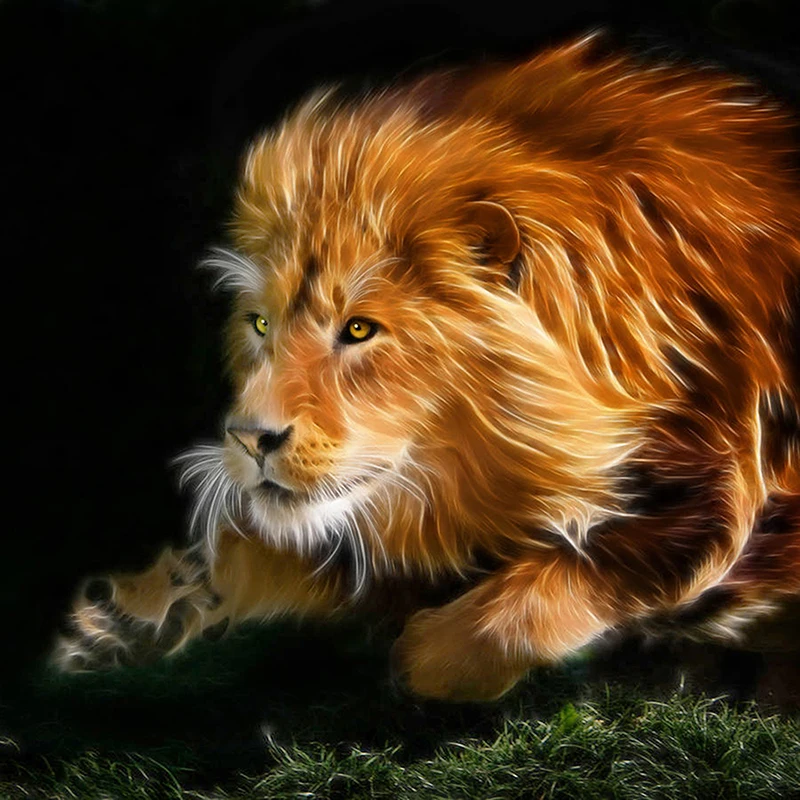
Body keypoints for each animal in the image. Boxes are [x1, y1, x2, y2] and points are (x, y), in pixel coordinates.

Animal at [54, 34, 799, 702]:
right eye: (260, 324)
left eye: (359, 329)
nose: (249, 439)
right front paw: (144, 615)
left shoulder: (716, 488)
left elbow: (551, 586)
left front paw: (419, 647)